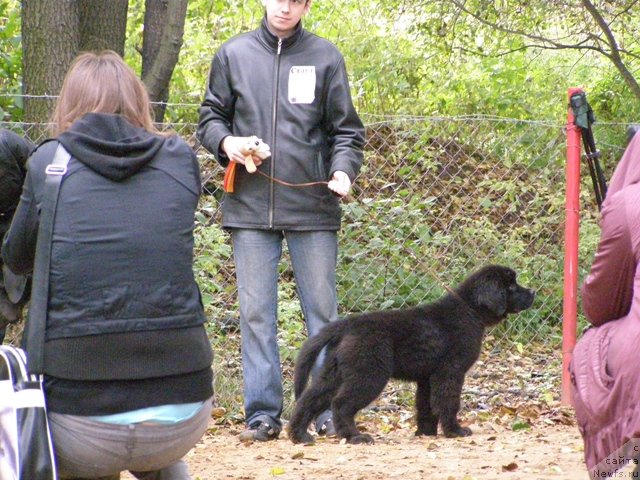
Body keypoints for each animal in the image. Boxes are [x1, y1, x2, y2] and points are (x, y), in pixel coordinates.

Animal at [288, 264, 536, 444]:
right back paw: (354, 437)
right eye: (511, 287)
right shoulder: (451, 371)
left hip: (335, 372)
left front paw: (426, 433)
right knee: (340, 403)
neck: (470, 309)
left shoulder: (428, 377)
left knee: (310, 399)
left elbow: (426, 407)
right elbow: (449, 402)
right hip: (369, 373)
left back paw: (299, 435)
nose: (533, 292)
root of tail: (348, 325)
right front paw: (455, 431)